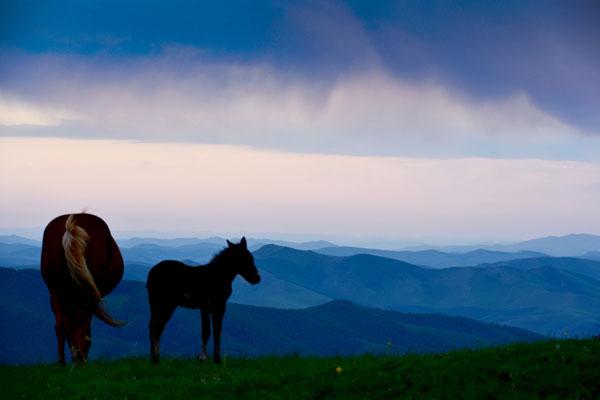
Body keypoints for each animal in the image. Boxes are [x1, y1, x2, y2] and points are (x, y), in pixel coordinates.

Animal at [40, 214, 124, 364]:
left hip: (55, 291)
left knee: (61, 325)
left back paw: (63, 361)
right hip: (85, 294)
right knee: (82, 321)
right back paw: (79, 357)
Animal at [146, 238, 260, 366]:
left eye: (251, 257)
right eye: (244, 259)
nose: (256, 278)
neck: (218, 277)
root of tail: (151, 273)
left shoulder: (220, 307)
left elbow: (217, 332)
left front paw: (217, 359)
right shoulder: (206, 306)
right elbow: (206, 331)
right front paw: (203, 358)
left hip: (163, 305)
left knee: (157, 326)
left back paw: (155, 358)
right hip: (163, 304)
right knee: (155, 326)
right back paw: (155, 359)